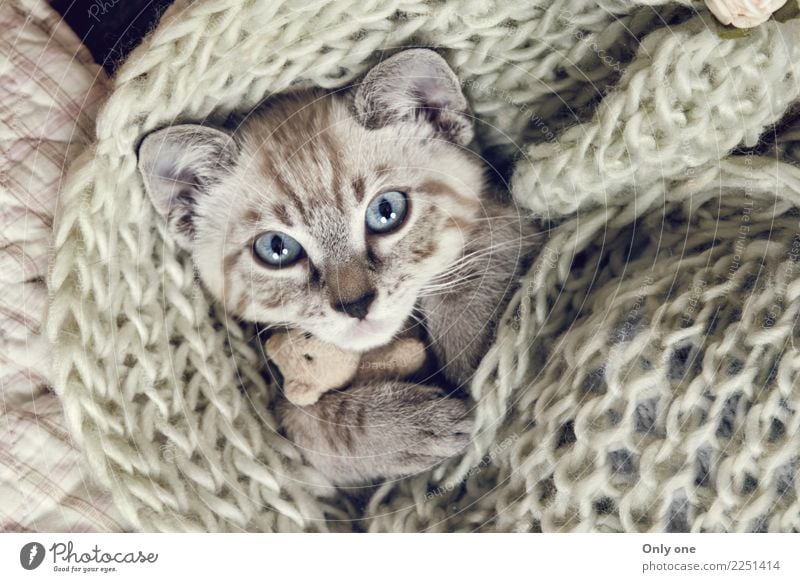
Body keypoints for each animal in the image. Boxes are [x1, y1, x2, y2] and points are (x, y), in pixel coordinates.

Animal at [138, 51, 540, 488]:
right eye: (276, 249)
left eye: (386, 211)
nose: (357, 305)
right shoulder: (287, 417)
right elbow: (312, 427)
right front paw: (411, 427)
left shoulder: (507, 216)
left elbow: (476, 263)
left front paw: (468, 360)